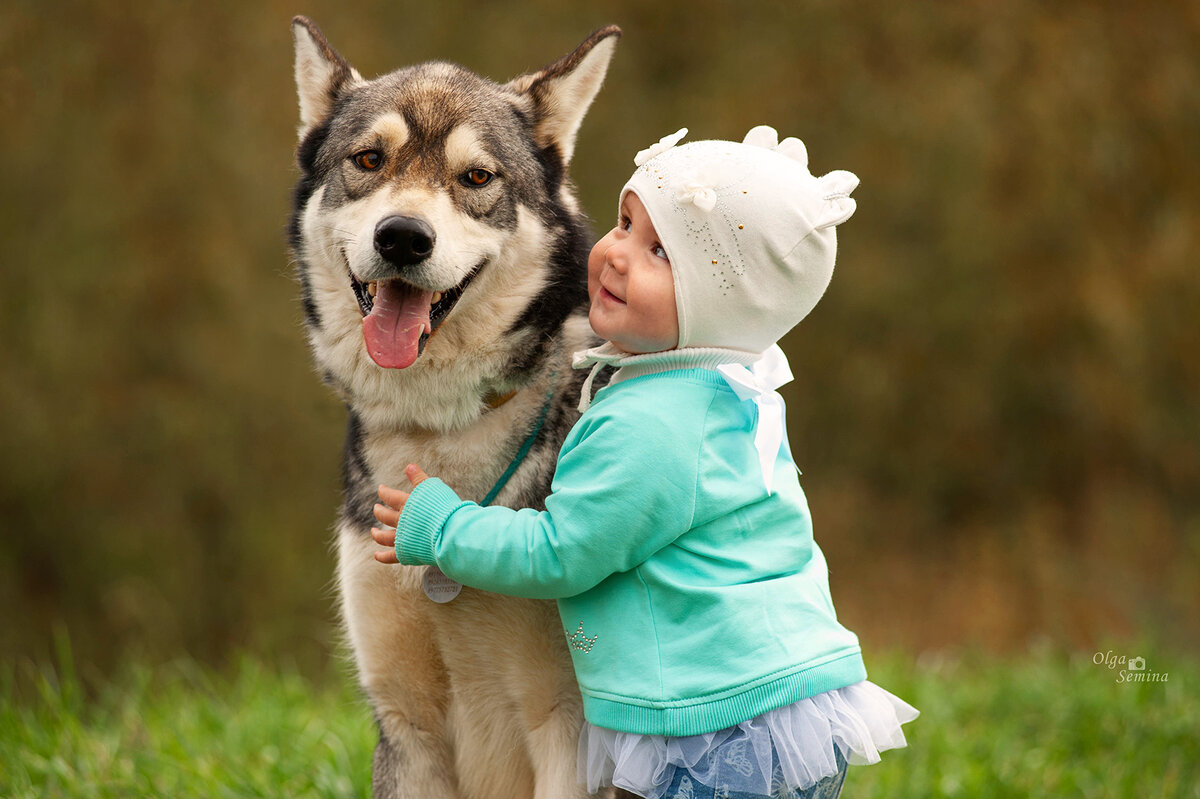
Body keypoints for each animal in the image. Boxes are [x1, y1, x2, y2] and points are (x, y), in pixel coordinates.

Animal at [291, 14, 624, 796]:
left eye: (476, 177)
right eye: (369, 159)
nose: (403, 237)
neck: (440, 433)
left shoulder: (567, 727)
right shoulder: (405, 723)